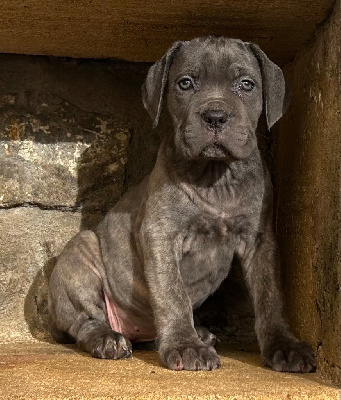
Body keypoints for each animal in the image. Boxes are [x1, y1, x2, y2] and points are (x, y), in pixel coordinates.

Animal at [48, 36, 316, 374]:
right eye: (185, 83)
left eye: (246, 84)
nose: (215, 116)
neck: (215, 177)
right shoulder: (161, 235)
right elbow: (172, 293)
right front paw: (185, 346)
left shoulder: (260, 240)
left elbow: (271, 296)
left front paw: (285, 346)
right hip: (80, 252)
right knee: (85, 321)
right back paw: (108, 339)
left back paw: (200, 333)